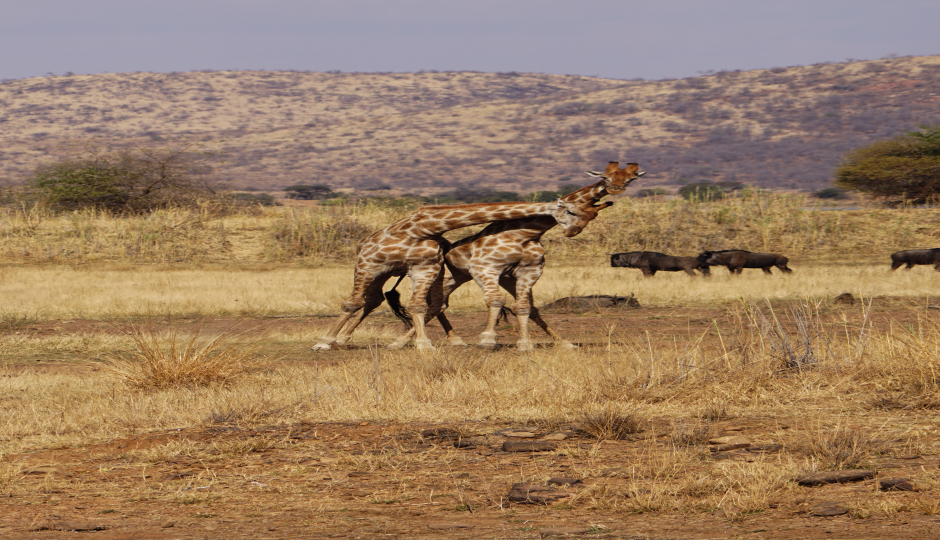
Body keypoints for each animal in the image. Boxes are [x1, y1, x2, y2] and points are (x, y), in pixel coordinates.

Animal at [312, 196, 600, 352]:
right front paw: (323, 341)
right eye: (571, 210)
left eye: (591, 214)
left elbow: (417, 306)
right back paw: (338, 338)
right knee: (364, 301)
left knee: (392, 302)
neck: (419, 229)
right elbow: (350, 303)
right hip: (375, 271)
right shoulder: (368, 265)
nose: (573, 231)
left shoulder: (424, 267)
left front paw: (423, 345)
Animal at [384, 162, 648, 350]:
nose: (616, 189)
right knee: (434, 305)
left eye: (630, 178)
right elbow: (496, 301)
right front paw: (487, 340)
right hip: (450, 277)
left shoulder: (527, 271)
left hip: (484, 278)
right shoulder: (485, 268)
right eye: (606, 177)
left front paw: (529, 344)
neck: (527, 232)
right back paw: (402, 343)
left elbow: (524, 307)